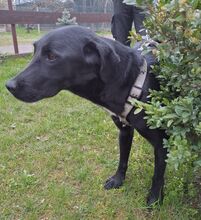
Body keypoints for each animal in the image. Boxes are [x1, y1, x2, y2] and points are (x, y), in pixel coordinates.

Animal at [5, 25, 167, 206]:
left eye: (52, 56)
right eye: (34, 51)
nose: (9, 85)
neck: (133, 82)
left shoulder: (162, 144)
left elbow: (157, 176)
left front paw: (154, 200)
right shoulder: (124, 131)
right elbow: (123, 159)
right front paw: (118, 180)